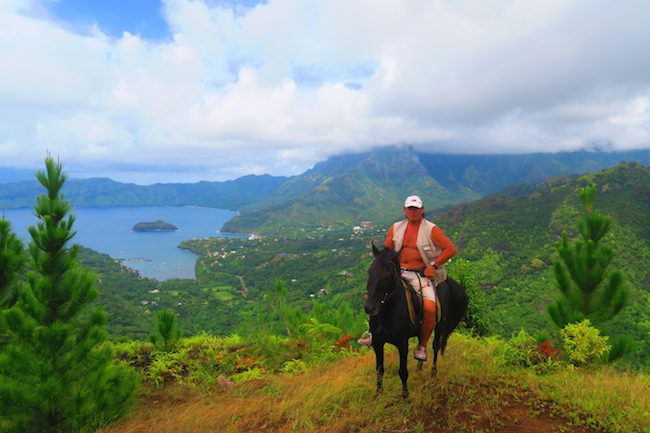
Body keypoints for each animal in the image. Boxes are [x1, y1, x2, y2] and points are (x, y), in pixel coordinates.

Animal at [364, 243, 466, 394]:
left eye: (388, 274)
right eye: (370, 271)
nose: (370, 307)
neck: (387, 313)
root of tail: (445, 281)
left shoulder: (402, 343)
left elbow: (403, 371)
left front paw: (406, 396)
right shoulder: (377, 342)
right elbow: (379, 370)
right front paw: (378, 395)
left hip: (440, 324)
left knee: (435, 346)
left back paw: (433, 374)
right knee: (422, 342)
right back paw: (419, 369)